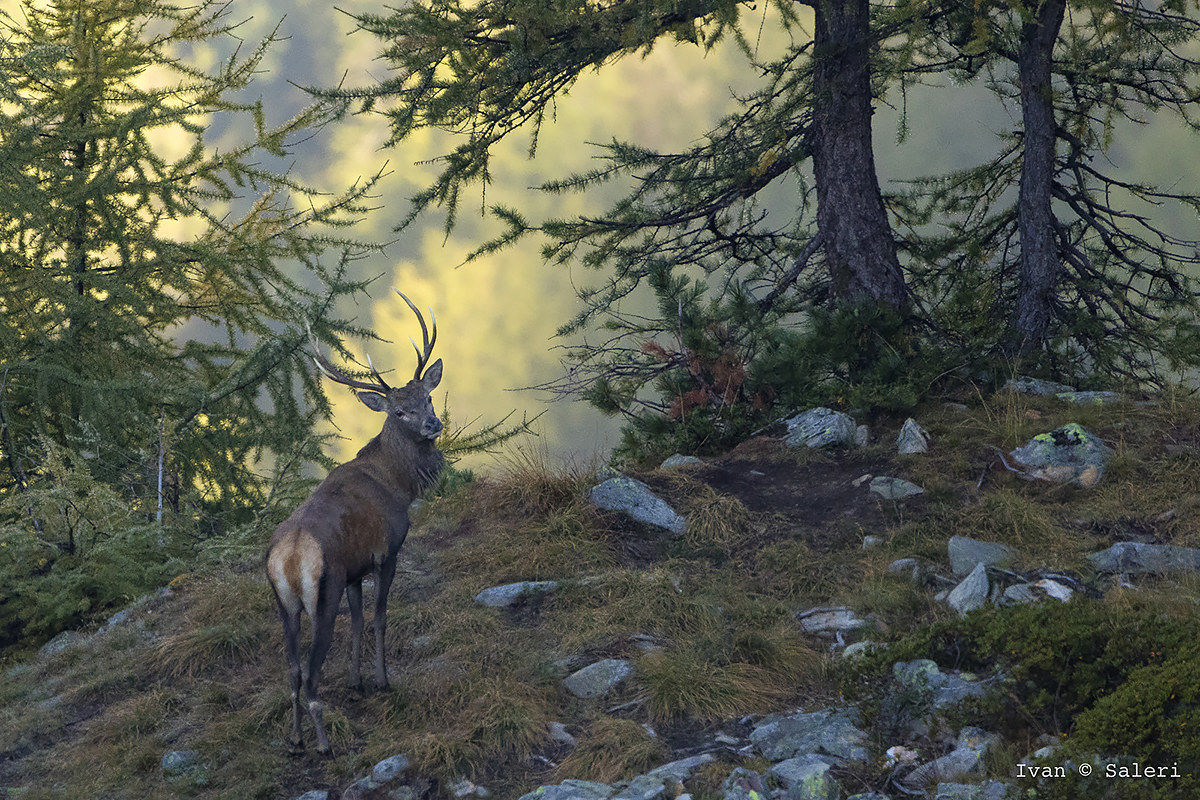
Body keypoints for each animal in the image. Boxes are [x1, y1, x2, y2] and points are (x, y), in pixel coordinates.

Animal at [266, 290, 444, 756]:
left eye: (427, 397)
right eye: (398, 411)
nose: (432, 423)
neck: (398, 484)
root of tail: (288, 558)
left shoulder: (352, 570)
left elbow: (360, 621)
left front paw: (355, 680)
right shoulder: (386, 552)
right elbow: (380, 617)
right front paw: (381, 681)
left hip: (284, 604)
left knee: (292, 671)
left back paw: (295, 740)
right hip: (321, 593)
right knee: (311, 676)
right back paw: (324, 744)